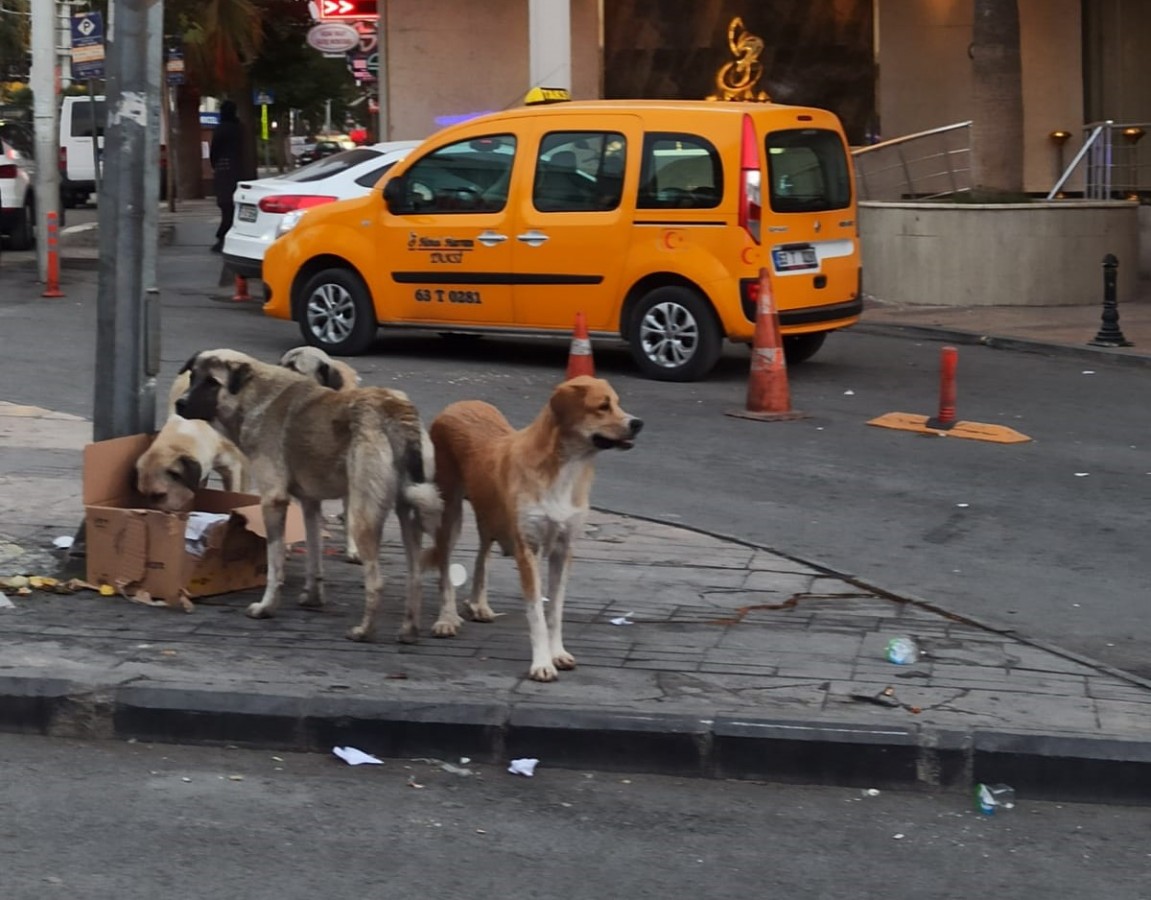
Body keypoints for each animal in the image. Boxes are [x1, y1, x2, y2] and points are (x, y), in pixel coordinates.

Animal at [177, 349, 441, 644]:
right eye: (193, 376)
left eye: (212, 382)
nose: (180, 404)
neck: (253, 395)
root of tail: (393, 409)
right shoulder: (310, 504)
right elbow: (314, 556)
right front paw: (313, 597)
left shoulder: (273, 501)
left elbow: (275, 563)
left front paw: (267, 607)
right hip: (409, 514)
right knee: (415, 576)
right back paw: (409, 630)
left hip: (362, 516)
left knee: (376, 581)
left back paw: (365, 630)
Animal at [425, 375, 644, 685]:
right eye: (602, 406)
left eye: (617, 403)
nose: (638, 423)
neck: (565, 469)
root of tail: (459, 403)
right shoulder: (528, 548)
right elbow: (537, 613)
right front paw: (542, 664)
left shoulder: (564, 549)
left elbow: (555, 611)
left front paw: (557, 653)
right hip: (451, 512)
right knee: (445, 568)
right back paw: (446, 618)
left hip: (491, 514)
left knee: (482, 553)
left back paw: (479, 604)